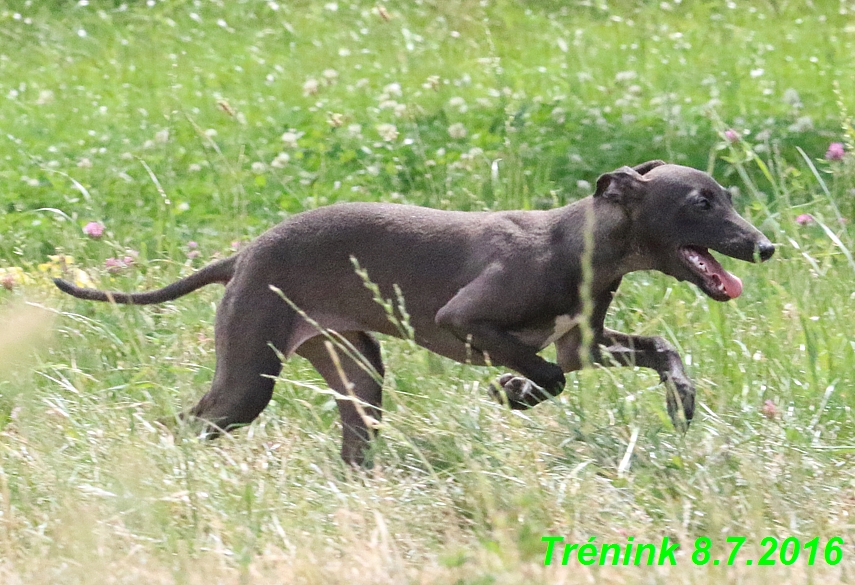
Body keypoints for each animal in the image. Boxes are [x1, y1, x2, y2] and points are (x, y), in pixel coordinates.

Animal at [53, 161, 776, 466]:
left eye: (727, 196)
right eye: (701, 203)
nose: (765, 246)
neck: (578, 244)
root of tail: (242, 254)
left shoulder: (585, 343)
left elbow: (655, 348)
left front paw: (681, 397)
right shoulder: (466, 321)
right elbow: (547, 376)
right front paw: (512, 391)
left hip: (355, 371)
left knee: (353, 440)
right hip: (247, 379)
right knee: (185, 424)